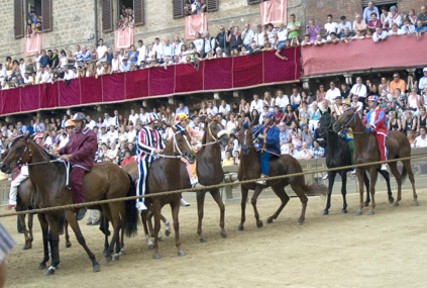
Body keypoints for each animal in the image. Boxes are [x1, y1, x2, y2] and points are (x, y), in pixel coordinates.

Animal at [0, 135, 137, 274]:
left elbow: (79, 237)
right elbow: (52, 238)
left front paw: (94, 262)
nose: (3, 166)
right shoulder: (49, 214)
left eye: (18, 148)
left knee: (118, 223)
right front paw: (52, 264)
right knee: (115, 224)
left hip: (114, 201)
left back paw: (111, 252)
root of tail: (122, 171)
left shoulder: (67, 212)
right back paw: (115, 251)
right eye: (9, 148)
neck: (51, 179)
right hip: (106, 204)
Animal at [144, 126, 197, 258]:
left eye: (189, 138)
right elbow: (157, 225)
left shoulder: (175, 201)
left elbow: (176, 223)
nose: (192, 156)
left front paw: (179, 248)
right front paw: (156, 251)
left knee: (148, 215)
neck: (165, 173)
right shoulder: (157, 201)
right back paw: (149, 241)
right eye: (179, 140)